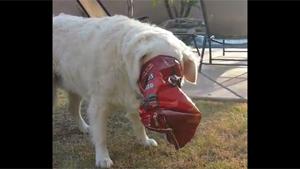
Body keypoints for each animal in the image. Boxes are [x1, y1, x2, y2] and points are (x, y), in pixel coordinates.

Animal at [53, 13, 200, 168]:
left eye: (177, 68)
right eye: (160, 65)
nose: (174, 80)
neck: (123, 66)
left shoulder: (137, 100)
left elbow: (139, 125)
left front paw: (144, 141)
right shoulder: (99, 106)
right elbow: (101, 136)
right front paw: (102, 158)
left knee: (72, 109)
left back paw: (84, 127)